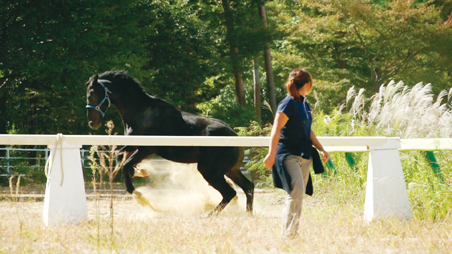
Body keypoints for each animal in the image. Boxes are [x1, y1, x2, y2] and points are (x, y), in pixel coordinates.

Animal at [85, 70, 254, 214]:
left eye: (92, 94)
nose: (92, 123)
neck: (142, 113)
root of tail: (234, 137)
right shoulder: (134, 146)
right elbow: (120, 157)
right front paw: (140, 171)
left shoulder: (146, 149)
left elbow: (125, 165)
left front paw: (138, 194)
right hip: (230, 170)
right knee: (248, 187)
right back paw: (248, 215)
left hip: (209, 170)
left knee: (229, 193)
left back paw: (208, 215)